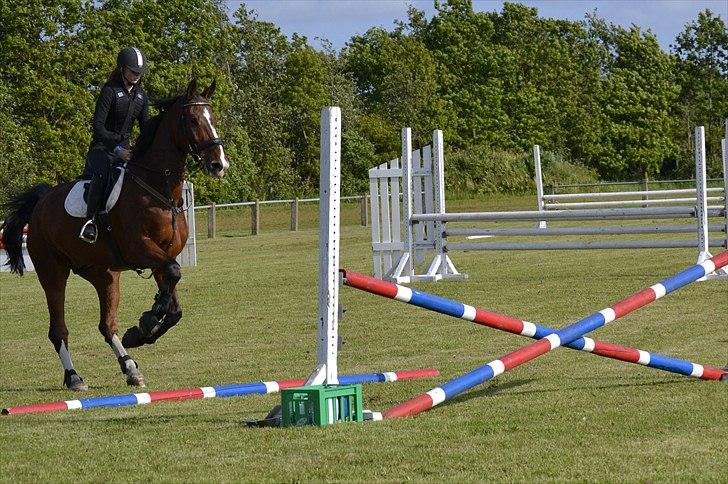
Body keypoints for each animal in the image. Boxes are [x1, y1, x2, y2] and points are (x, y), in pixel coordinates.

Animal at [0, 78, 228, 390]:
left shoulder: (162, 256)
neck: (158, 191)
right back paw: (74, 377)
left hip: (103, 275)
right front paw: (148, 320)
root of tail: (40, 203)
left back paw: (130, 367)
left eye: (213, 118)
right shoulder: (141, 249)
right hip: (52, 273)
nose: (219, 165)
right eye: (193, 120)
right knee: (58, 329)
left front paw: (142, 330)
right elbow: (173, 276)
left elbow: (174, 304)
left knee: (106, 325)